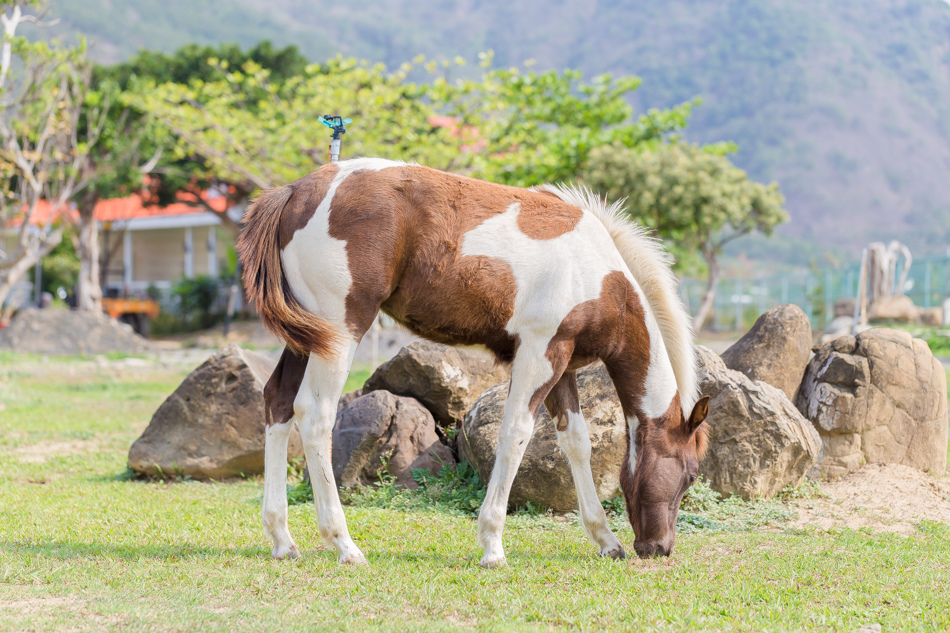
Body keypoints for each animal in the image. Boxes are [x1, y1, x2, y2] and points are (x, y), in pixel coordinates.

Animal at [242, 159, 712, 568]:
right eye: (690, 475)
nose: (659, 548)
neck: (599, 275)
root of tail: (295, 191)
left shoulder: (562, 363)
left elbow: (577, 442)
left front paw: (605, 540)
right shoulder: (539, 354)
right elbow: (516, 434)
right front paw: (492, 545)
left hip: (308, 337)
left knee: (278, 403)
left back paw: (283, 540)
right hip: (340, 332)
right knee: (315, 413)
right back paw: (345, 545)